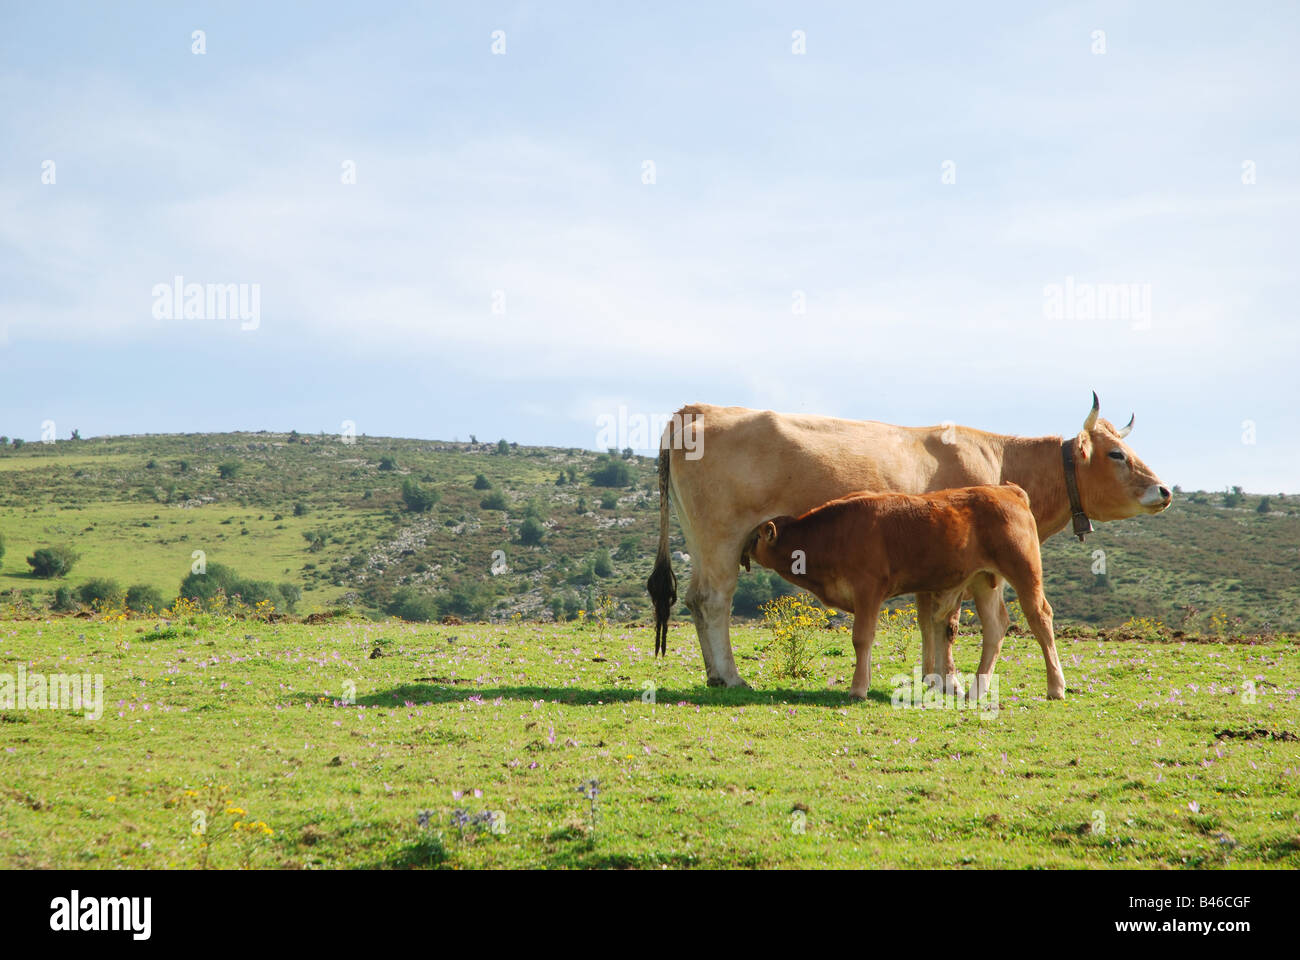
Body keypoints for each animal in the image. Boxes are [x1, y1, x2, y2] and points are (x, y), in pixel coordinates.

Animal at [748, 481, 1060, 697]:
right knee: (995, 627)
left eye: (755, 538)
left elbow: (862, 638)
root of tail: (1006, 490)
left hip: (1024, 571)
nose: (742, 549)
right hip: (984, 579)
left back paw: (1055, 687)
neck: (833, 533)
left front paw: (857, 689)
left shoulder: (868, 589)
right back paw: (977, 690)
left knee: (1040, 617)